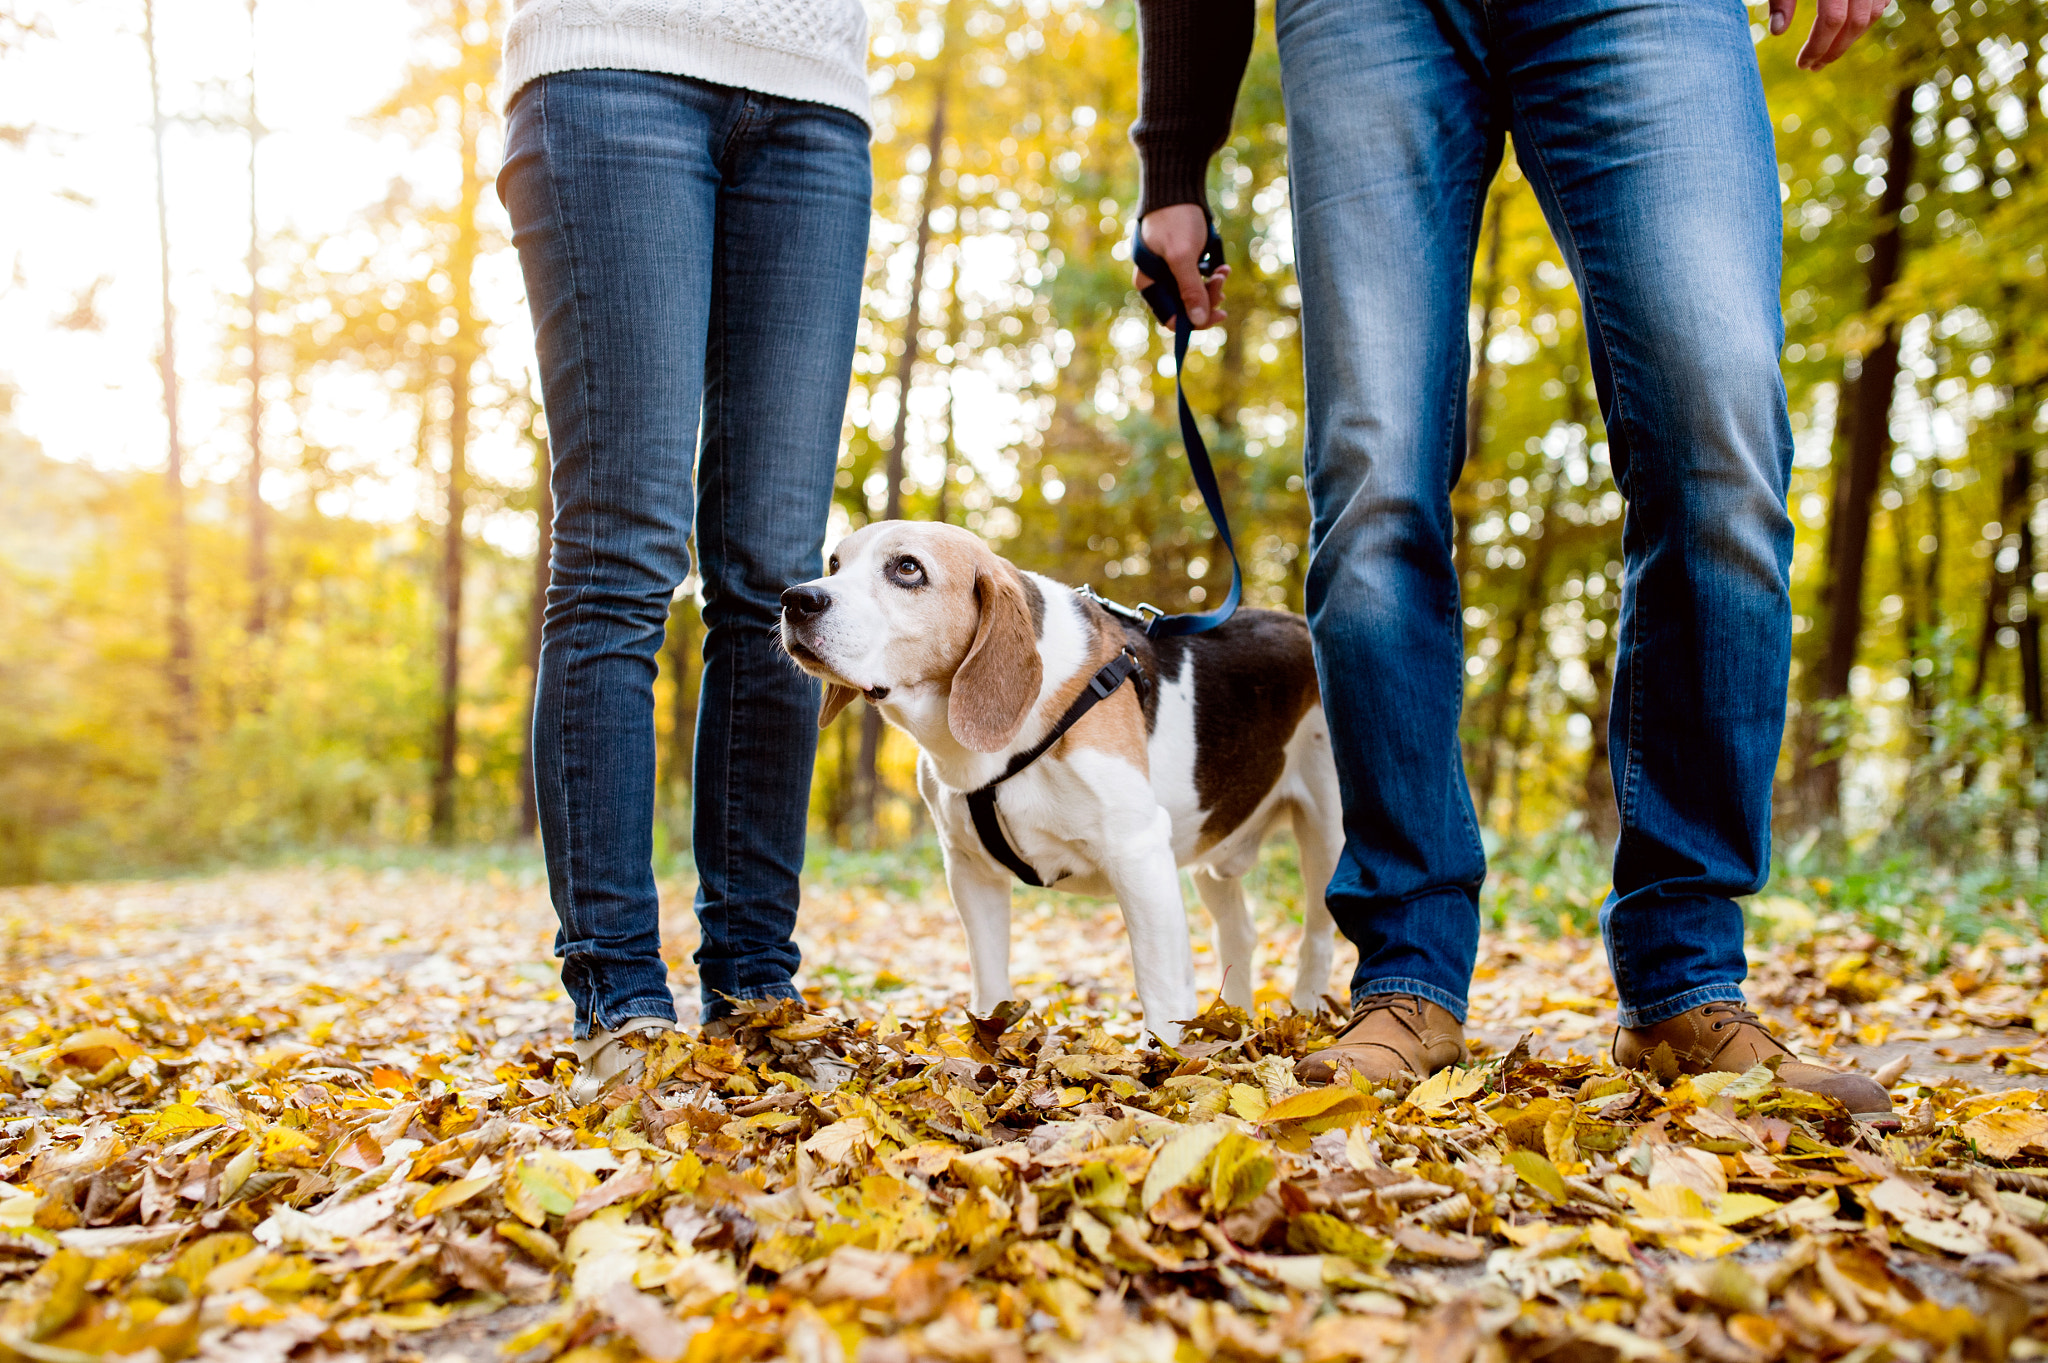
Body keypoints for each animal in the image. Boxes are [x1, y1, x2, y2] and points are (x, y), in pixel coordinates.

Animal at [774, 519, 1335, 1039]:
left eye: (907, 568)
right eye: (833, 563)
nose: (795, 600)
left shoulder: (1139, 854)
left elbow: (1159, 985)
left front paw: (1166, 1064)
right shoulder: (969, 870)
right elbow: (989, 980)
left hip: (1325, 838)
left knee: (1318, 936)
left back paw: (1307, 1012)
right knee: (1239, 933)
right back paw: (1234, 1022)